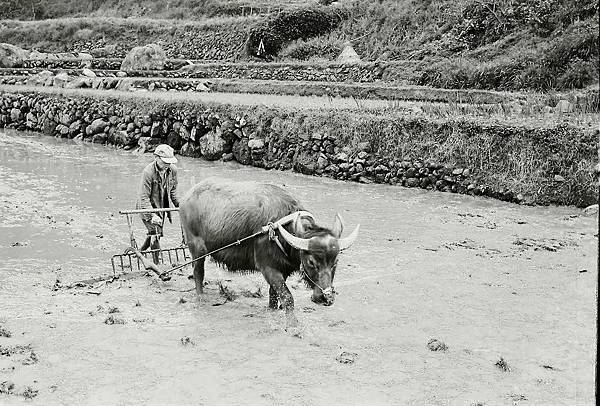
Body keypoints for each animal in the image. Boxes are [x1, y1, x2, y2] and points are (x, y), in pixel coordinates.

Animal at [177, 178, 356, 326]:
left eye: (335, 262)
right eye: (311, 261)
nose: (326, 297)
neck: (281, 230)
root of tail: (186, 198)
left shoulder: (282, 270)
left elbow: (274, 295)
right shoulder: (268, 268)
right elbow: (288, 297)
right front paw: (293, 325)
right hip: (197, 249)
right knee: (198, 272)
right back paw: (200, 298)